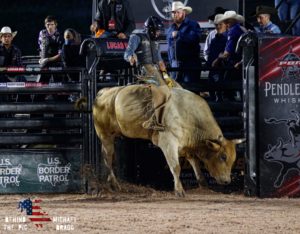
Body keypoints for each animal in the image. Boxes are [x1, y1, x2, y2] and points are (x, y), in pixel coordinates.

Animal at [77, 85, 244, 197]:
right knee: (107, 157)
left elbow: (195, 162)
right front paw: (179, 190)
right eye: (223, 157)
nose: (227, 181)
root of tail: (103, 92)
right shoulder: (168, 142)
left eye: (233, 159)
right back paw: (114, 184)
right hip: (104, 135)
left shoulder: (186, 144)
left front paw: (203, 184)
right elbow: (176, 167)